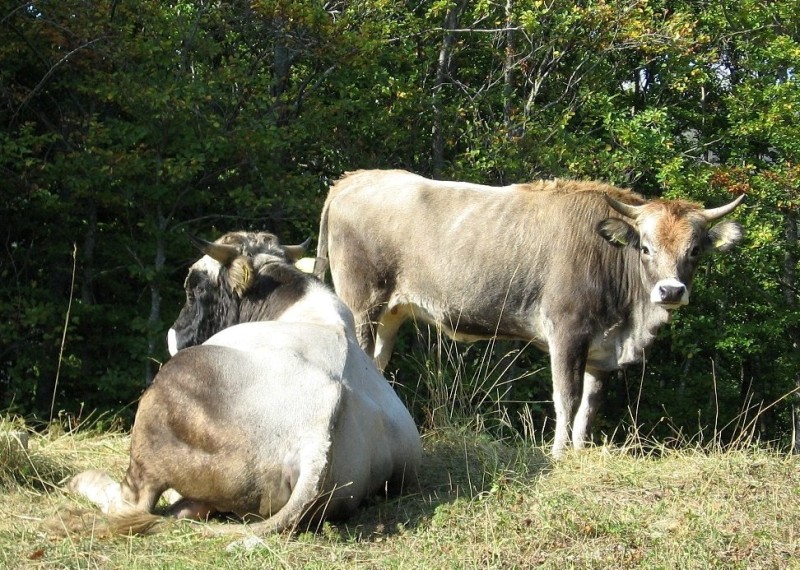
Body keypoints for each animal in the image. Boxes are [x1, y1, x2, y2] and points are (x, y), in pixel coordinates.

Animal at [65, 230, 422, 532]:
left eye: (195, 289)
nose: (174, 333)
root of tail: (316, 436)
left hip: (164, 398)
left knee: (131, 502)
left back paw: (83, 481)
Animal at [314, 169, 744, 458]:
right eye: (646, 248)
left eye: (695, 250)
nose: (670, 291)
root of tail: (354, 179)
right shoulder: (567, 331)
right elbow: (566, 395)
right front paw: (559, 454)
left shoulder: (602, 349)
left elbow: (590, 405)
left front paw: (580, 452)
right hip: (362, 304)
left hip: (390, 313)